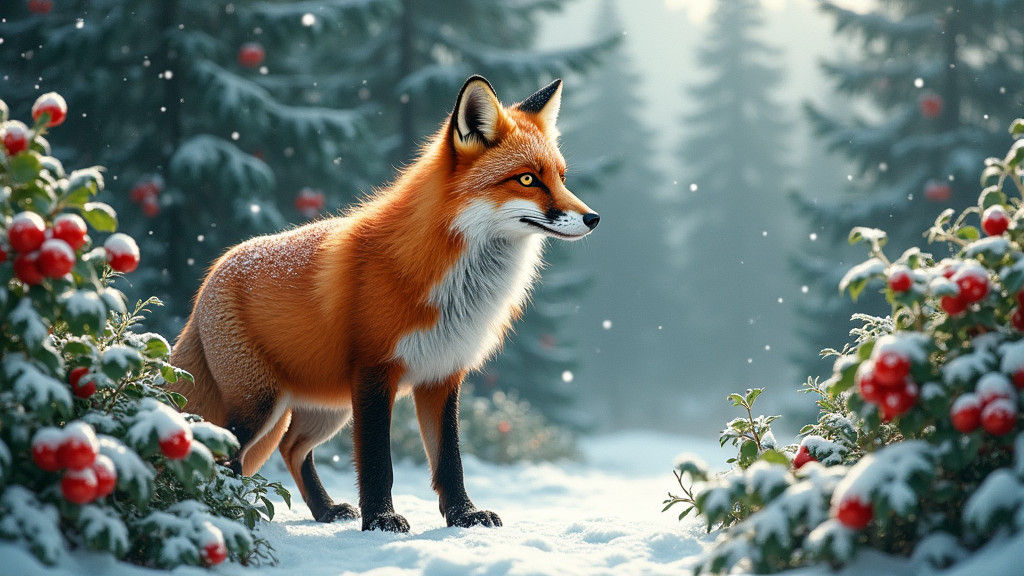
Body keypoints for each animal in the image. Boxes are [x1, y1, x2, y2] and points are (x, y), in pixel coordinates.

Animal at [168, 75, 599, 532]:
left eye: (562, 177)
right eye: (528, 180)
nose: (593, 218)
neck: (452, 281)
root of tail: (212, 274)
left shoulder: (442, 374)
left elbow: (450, 460)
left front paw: (463, 515)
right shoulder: (374, 371)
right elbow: (377, 461)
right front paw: (381, 520)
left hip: (323, 407)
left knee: (292, 448)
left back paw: (324, 511)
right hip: (260, 404)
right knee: (224, 452)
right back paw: (225, 511)